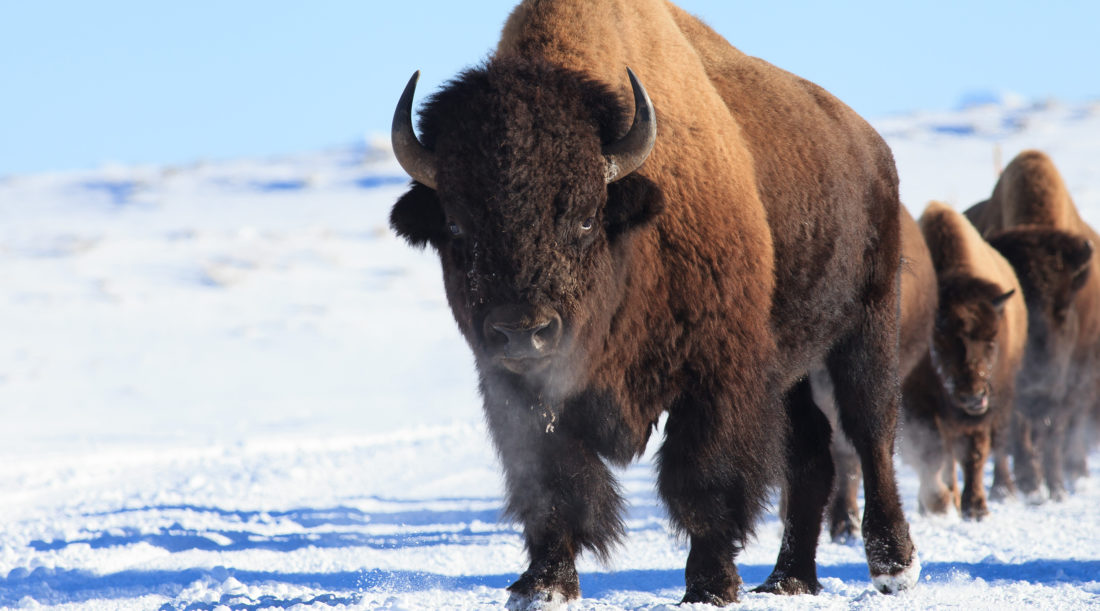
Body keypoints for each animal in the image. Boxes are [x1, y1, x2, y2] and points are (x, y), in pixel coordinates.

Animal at [389, 0, 919, 607]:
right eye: (455, 225)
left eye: (586, 218)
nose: (523, 331)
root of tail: (872, 147)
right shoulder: (517, 391)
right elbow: (553, 483)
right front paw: (543, 586)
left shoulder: (717, 375)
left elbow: (702, 480)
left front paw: (710, 587)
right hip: (792, 367)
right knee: (811, 452)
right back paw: (788, 580)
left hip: (867, 324)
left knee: (871, 430)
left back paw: (893, 568)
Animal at [897, 203, 1025, 519]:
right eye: (941, 345)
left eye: (991, 341)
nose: (973, 396)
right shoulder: (919, 404)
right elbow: (935, 454)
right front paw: (941, 504)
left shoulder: (981, 414)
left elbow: (974, 453)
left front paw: (976, 508)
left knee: (996, 445)